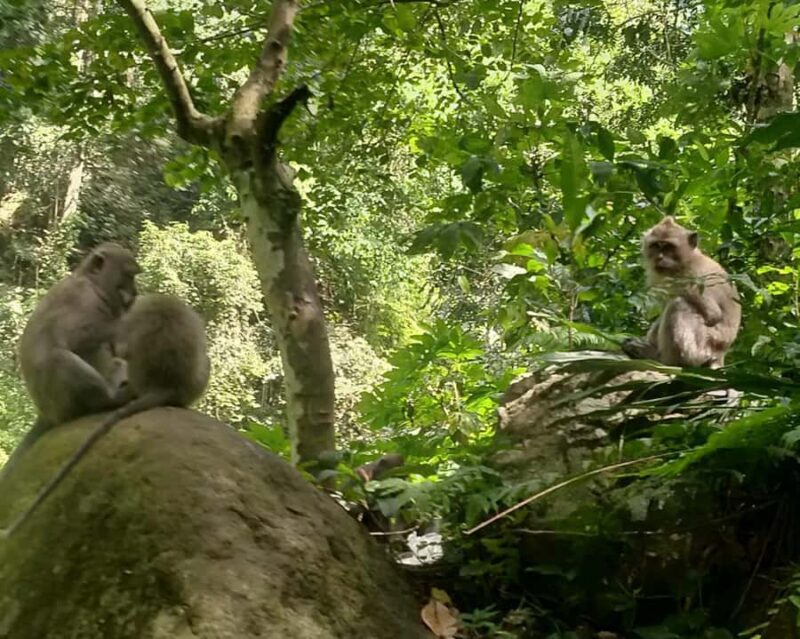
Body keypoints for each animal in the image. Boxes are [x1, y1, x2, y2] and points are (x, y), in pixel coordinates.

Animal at [1, 243, 139, 481]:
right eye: (129, 275)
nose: (136, 293)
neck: (92, 283)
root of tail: (47, 413)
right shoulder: (85, 299)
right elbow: (77, 337)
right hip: (61, 400)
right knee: (60, 357)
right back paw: (110, 399)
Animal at [622, 216, 741, 368]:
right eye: (656, 246)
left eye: (668, 247)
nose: (659, 258)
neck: (687, 260)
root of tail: (720, 354)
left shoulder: (692, 278)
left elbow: (713, 314)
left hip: (703, 346)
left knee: (678, 304)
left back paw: (665, 360)